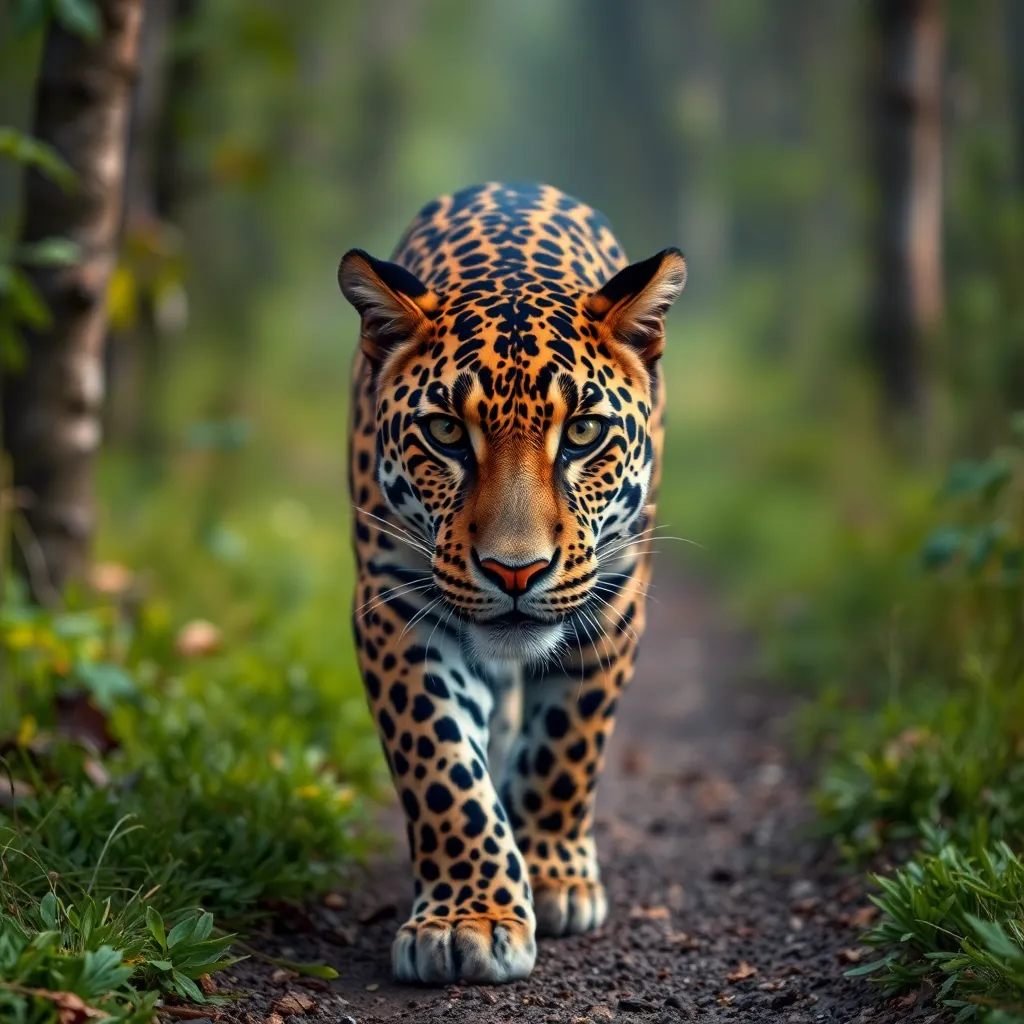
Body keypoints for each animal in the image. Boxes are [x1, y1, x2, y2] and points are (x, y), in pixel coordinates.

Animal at [338, 182, 686, 984]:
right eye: (445, 433)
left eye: (583, 434)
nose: (515, 571)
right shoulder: (397, 603)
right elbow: (439, 762)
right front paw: (469, 917)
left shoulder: (615, 596)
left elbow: (568, 743)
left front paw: (554, 876)